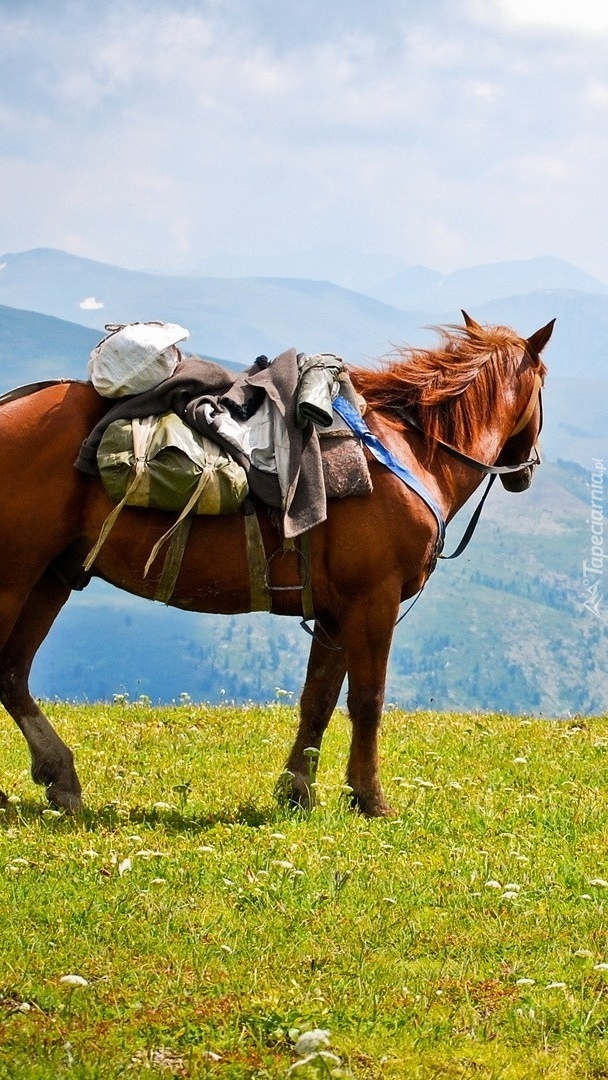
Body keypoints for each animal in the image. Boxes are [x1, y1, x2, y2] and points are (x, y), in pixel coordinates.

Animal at [0, 315, 552, 812]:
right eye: (544, 385)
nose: (526, 471)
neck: (413, 453)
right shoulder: (373, 601)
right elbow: (366, 700)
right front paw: (369, 798)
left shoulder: (335, 614)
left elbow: (318, 700)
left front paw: (297, 790)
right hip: (16, 577)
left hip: (52, 576)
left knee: (13, 673)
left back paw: (60, 777)